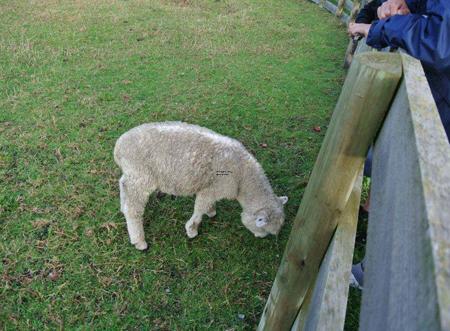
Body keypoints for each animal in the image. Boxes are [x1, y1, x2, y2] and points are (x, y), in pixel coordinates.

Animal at [113, 122, 288, 252]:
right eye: (263, 228)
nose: (260, 238)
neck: (243, 179)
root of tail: (118, 148)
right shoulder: (213, 188)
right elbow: (199, 208)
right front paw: (192, 230)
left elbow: (207, 206)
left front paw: (211, 212)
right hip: (142, 177)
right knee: (133, 209)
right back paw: (139, 240)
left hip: (133, 174)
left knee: (123, 186)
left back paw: (122, 207)